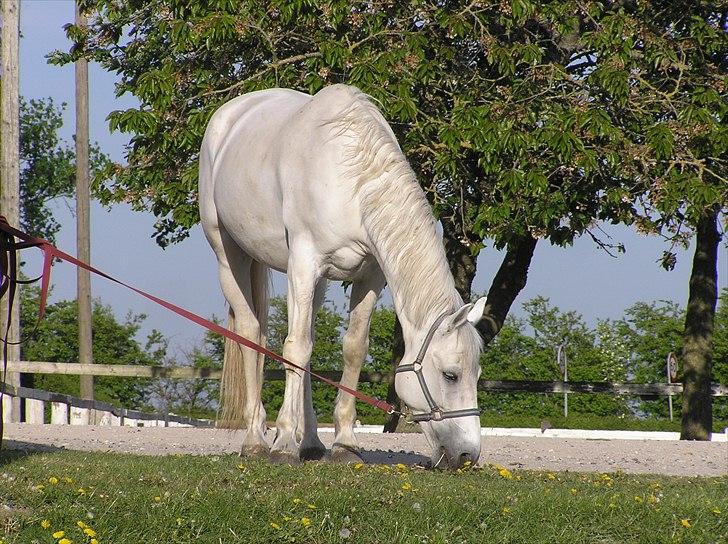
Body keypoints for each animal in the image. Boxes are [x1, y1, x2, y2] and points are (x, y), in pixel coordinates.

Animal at [199, 84, 486, 468]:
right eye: (450, 375)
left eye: (477, 374)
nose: (467, 455)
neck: (350, 183)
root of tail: (231, 113)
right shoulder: (303, 264)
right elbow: (295, 348)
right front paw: (283, 443)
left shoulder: (369, 277)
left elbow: (351, 350)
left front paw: (345, 445)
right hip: (229, 256)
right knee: (251, 334)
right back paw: (257, 440)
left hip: (315, 284)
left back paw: (311, 443)